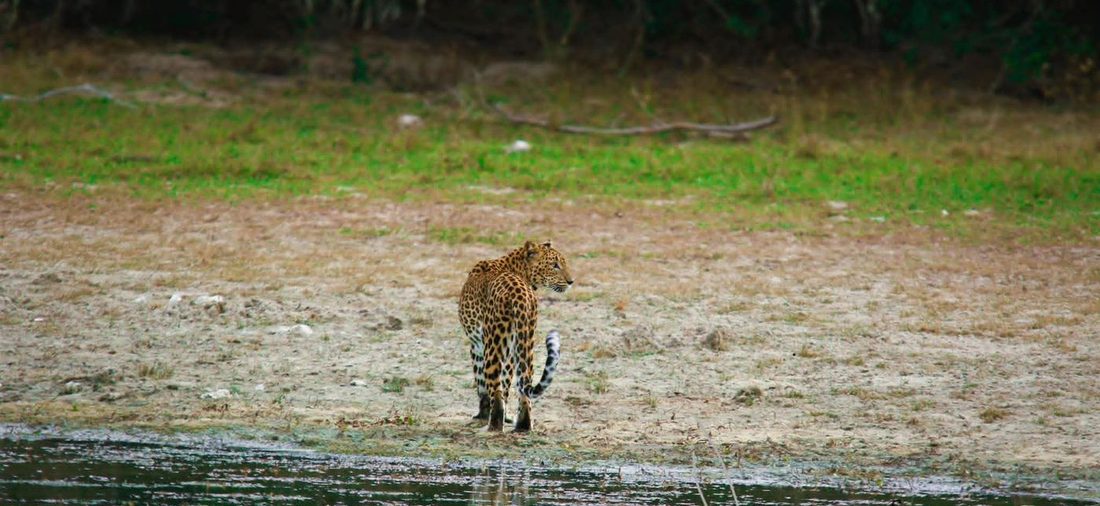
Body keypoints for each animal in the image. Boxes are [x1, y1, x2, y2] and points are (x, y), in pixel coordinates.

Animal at [458, 240, 573, 432]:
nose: (571, 281)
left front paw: (482, 415)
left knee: (496, 392)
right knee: (524, 388)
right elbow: (506, 384)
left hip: (493, 345)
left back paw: (491, 428)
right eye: (555, 265)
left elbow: (482, 384)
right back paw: (523, 426)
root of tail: (519, 294)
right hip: (526, 343)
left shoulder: (476, 346)